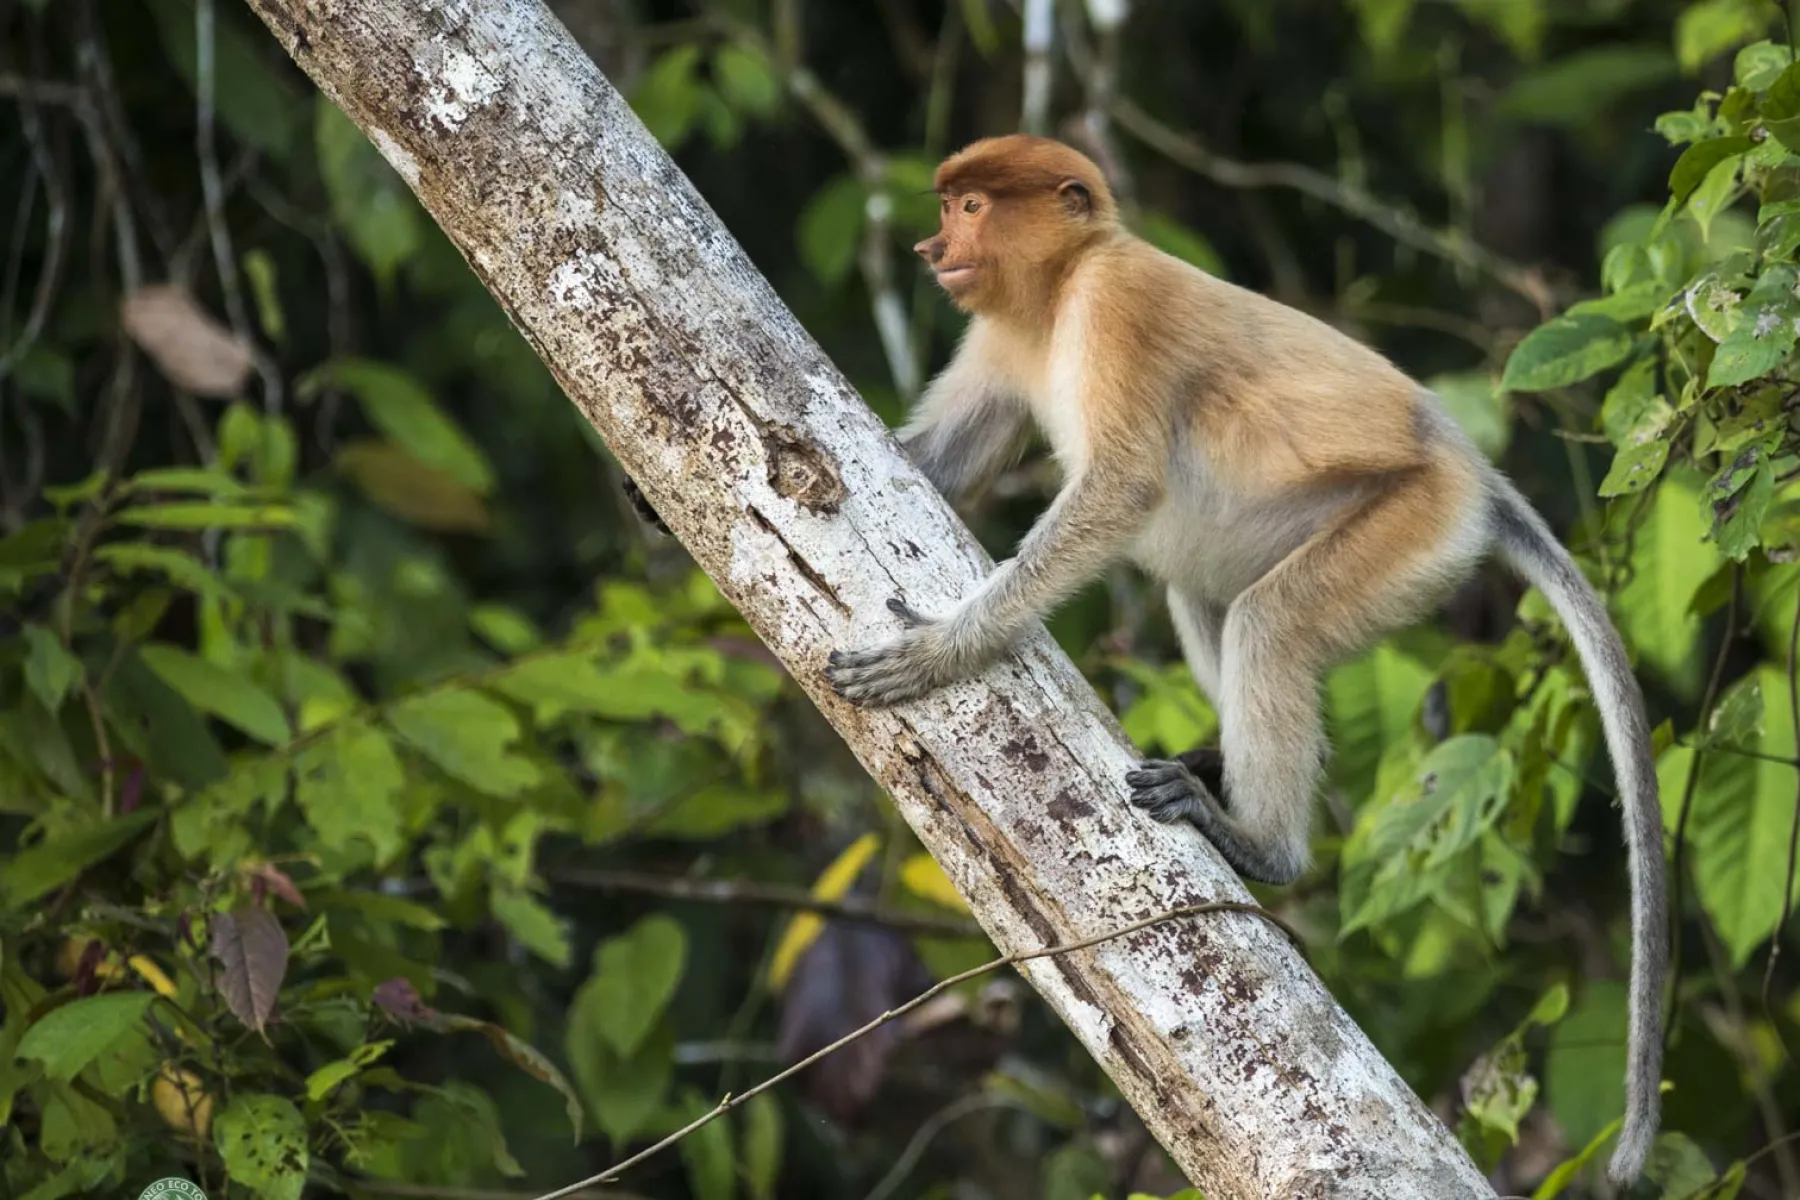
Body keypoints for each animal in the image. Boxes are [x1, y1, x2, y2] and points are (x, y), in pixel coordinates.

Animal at [822, 134, 1666, 1186]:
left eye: (971, 205)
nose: (934, 247)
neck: (1058, 290)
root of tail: (1470, 468)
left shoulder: (1115, 306)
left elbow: (1120, 489)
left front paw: (937, 651)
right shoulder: (1001, 335)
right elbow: (938, 459)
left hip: (1414, 523)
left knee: (1265, 619)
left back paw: (1258, 842)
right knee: (1201, 589)